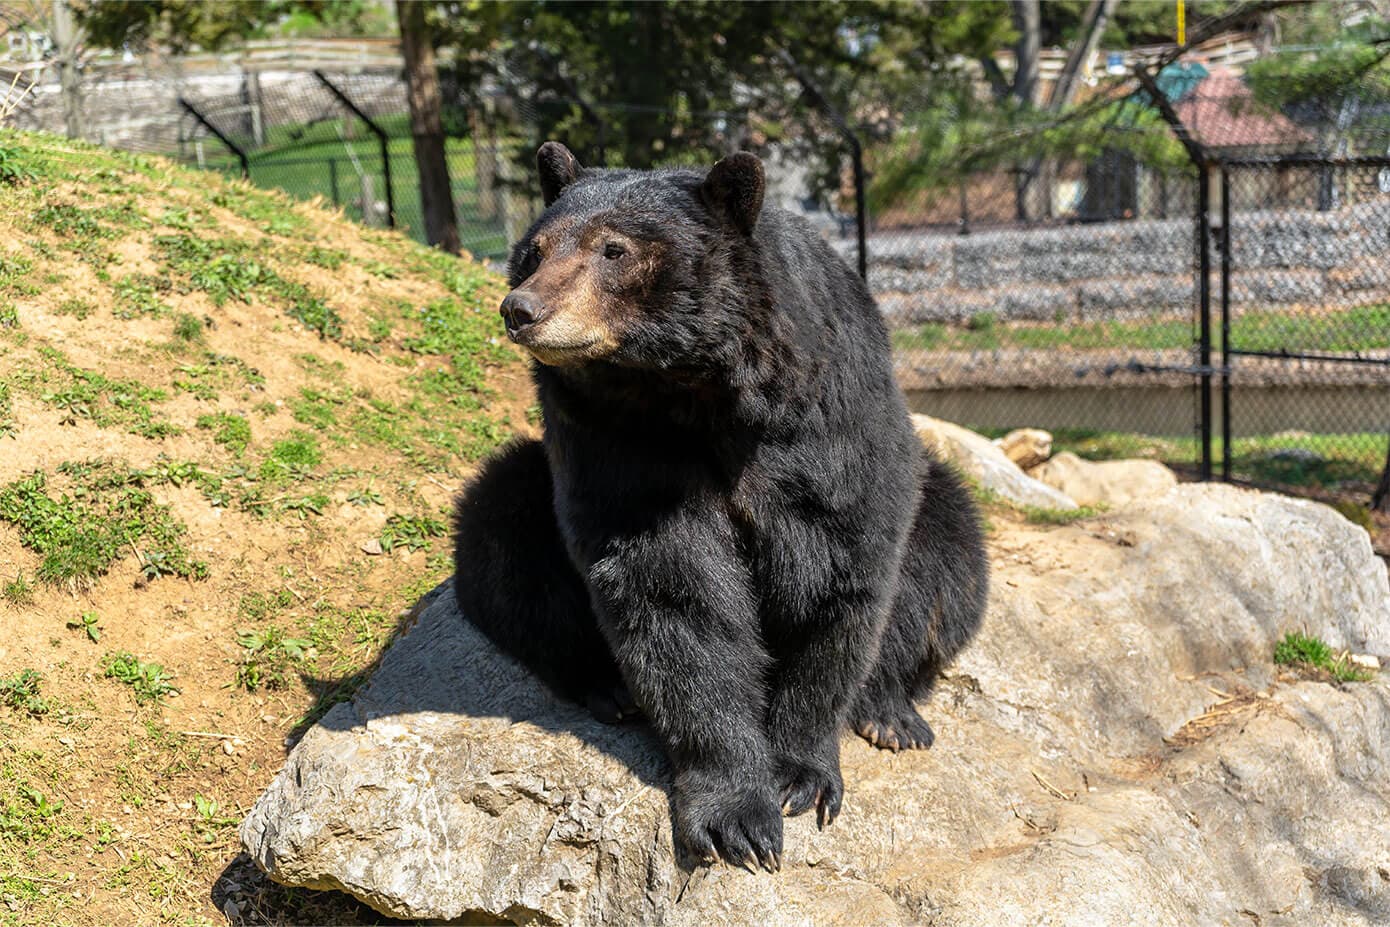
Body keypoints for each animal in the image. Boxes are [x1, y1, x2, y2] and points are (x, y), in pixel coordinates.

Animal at [453, 141, 987, 872]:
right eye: (533, 250)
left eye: (613, 250)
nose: (521, 308)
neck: (689, 388)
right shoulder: (611, 439)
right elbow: (671, 591)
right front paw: (735, 813)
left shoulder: (826, 416)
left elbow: (839, 565)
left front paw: (799, 773)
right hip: (523, 491)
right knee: (503, 539)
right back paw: (606, 687)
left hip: (940, 508)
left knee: (946, 567)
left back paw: (889, 711)